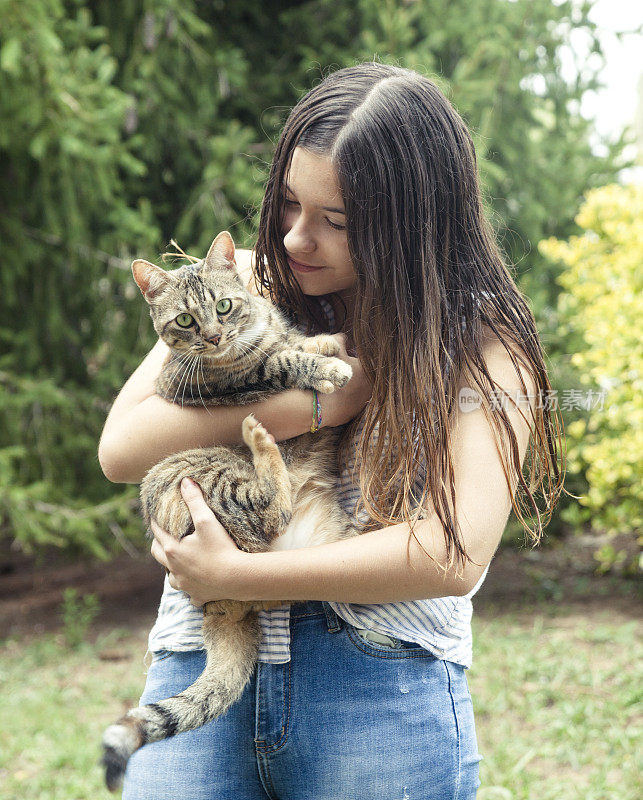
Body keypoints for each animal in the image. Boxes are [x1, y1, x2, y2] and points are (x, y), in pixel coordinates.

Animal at [103, 230, 360, 788]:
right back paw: (258, 436)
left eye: (223, 306)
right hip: (208, 474)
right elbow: (281, 362)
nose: (215, 337)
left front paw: (322, 341)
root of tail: (224, 605)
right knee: (267, 506)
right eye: (184, 321)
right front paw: (328, 363)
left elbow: (293, 343)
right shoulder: (213, 382)